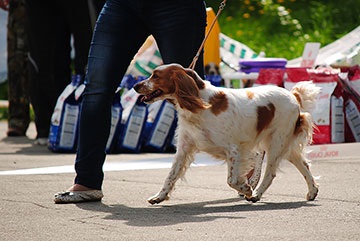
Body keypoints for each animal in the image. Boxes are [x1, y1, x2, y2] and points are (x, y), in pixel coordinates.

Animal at [134, 63, 320, 204]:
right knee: (304, 165)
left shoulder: (235, 150)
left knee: (270, 173)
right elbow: (171, 176)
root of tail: (293, 96)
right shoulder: (184, 149)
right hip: (285, 145)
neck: (200, 105)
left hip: (276, 143)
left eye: (155, 76)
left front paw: (247, 189)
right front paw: (159, 196)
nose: (135, 86)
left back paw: (256, 194)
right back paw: (312, 191)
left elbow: (231, 180)